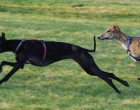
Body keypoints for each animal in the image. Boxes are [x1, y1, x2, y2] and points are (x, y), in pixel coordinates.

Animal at [0, 32, 129, 93]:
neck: (20, 45)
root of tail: (84, 49)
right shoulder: (21, 64)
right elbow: (3, 61)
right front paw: (1, 69)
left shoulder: (19, 64)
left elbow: (7, 75)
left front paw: (1, 82)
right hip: (89, 68)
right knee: (110, 74)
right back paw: (125, 83)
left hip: (89, 66)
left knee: (107, 78)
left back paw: (118, 90)